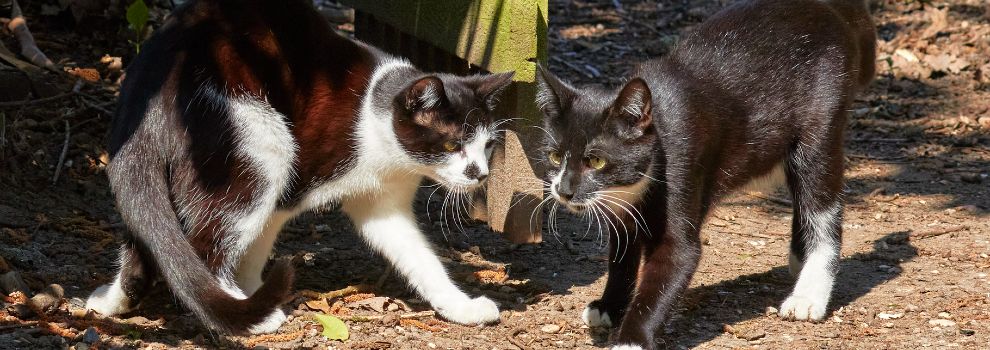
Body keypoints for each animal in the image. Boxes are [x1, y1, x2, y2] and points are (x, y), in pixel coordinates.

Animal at [87, 0, 512, 334]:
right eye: (452, 145)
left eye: (487, 145)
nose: (480, 173)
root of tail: (155, 70)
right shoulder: (291, 191)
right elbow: (256, 247)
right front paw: (254, 297)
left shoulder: (383, 205)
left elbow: (421, 258)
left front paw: (460, 307)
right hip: (264, 145)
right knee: (207, 242)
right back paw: (246, 313)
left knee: (146, 235)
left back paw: (113, 301)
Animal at [536, 1, 876, 348]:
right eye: (554, 156)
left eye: (596, 161)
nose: (563, 189)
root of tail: (827, 7)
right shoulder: (620, 214)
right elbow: (621, 259)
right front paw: (609, 306)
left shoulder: (682, 172)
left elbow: (673, 264)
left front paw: (630, 338)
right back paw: (799, 259)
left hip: (820, 128)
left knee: (821, 203)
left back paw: (809, 294)